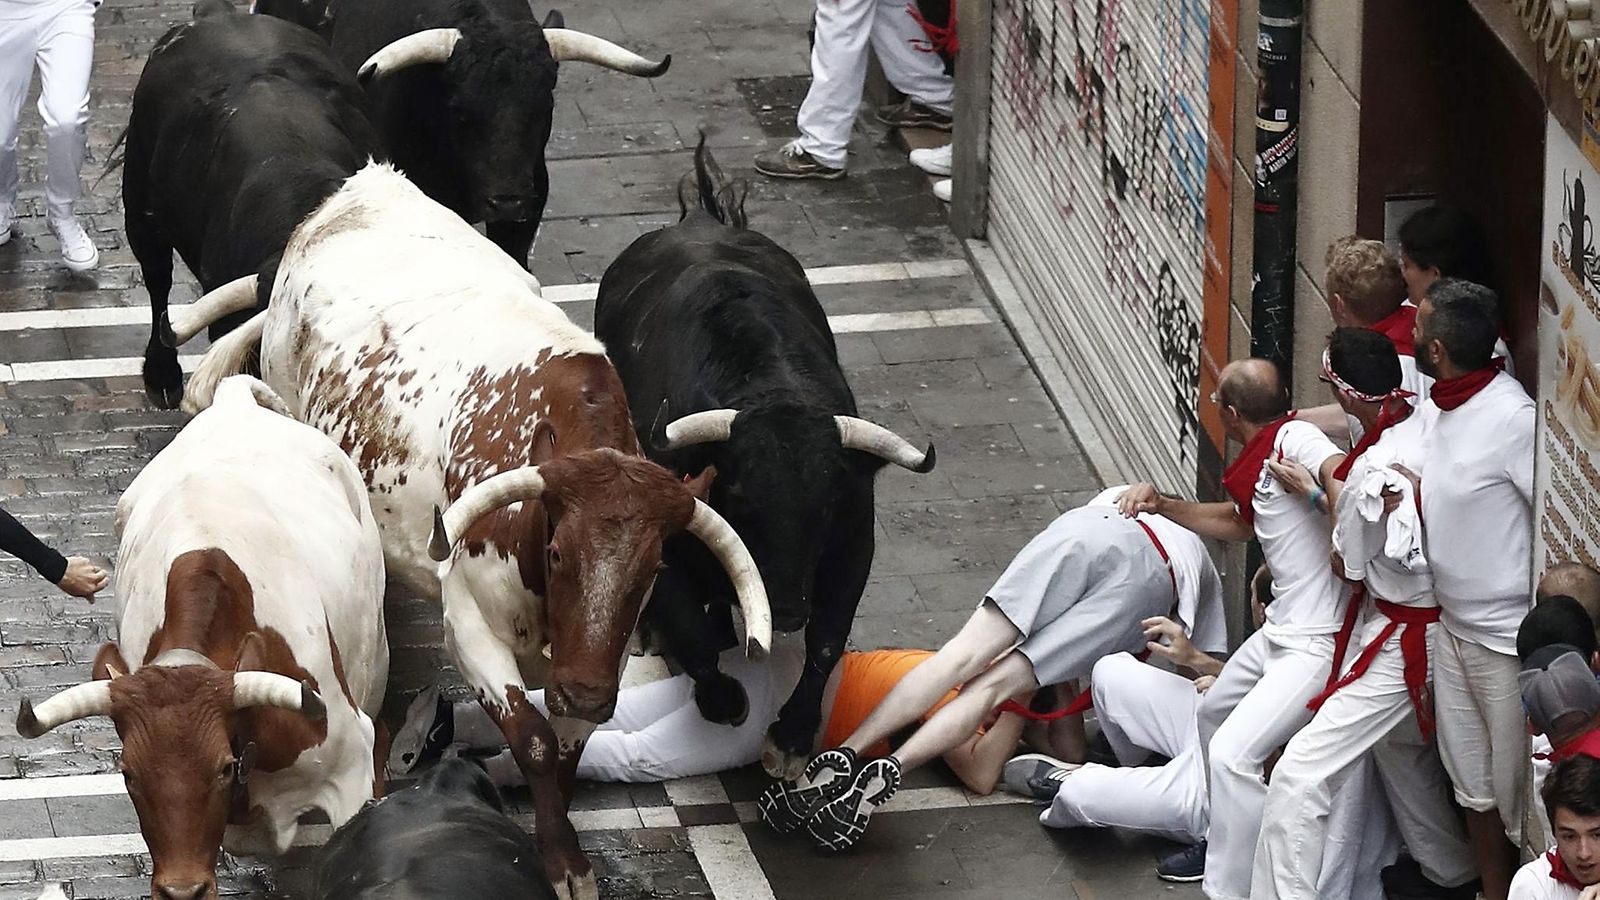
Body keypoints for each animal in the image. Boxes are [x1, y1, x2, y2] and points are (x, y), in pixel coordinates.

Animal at [595, 143, 934, 775]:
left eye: (826, 507)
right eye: (741, 499)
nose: (786, 608)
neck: (767, 386)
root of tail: (701, 220)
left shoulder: (853, 544)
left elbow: (827, 640)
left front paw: (792, 737)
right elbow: (691, 627)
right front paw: (724, 699)